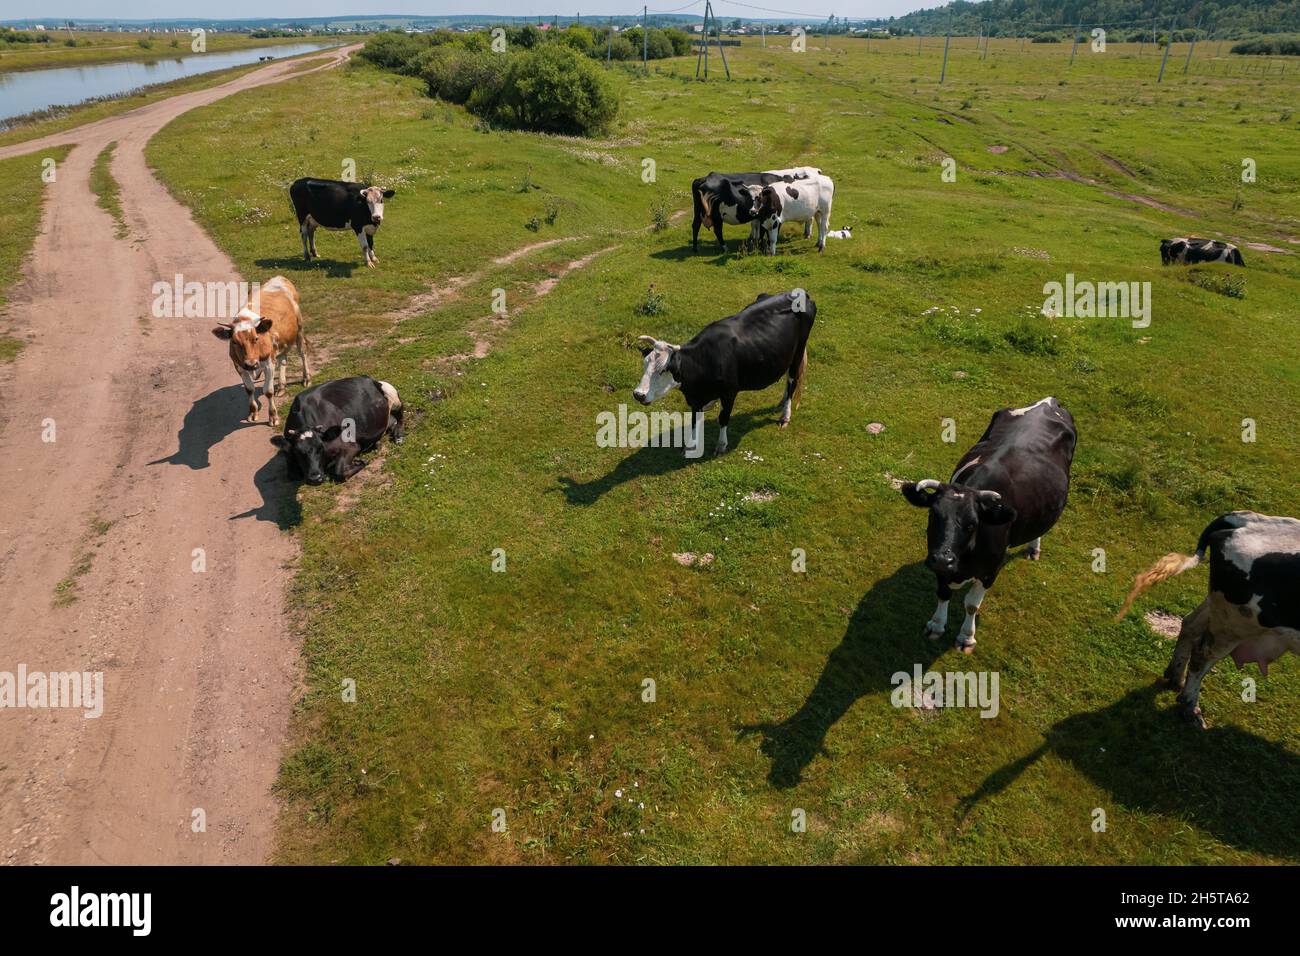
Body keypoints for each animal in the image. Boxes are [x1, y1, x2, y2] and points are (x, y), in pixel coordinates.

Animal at [211, 275, 310, 428]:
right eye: (234, 342)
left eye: (256, 338)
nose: (251, 364)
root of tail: (280, 277)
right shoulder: (239, 366)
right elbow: (249, 389)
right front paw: (253, 413)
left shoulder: (268, 363)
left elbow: (268, 391)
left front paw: (273, 417)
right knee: (283, 359)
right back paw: (281, 387)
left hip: (299, 328)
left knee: (302, 352)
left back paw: (306, 379)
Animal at [270, 376, 404, 485]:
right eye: (297, 452)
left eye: (320, 448)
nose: (315, 478)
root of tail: (368, 378)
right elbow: (292, 475)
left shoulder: (351, 446)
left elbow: (340, 472)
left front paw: (360, 462)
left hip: (391, 392)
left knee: (400, 417)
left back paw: (398, 437)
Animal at [633, 289, 814, 456]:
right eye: (645, 364)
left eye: (663, 370)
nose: (638, 394)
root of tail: (800, 292)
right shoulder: (696, 397)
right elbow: (694, 419)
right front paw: (690, 445)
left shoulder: (729, 392)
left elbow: (723, 417)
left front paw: (721, 445)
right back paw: (782, 401)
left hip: (798, 352)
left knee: (792, 380)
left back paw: (785, 415)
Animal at [901, 397, 1077, 653]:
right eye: (933, 515)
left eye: (972, 524)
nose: (943, 559)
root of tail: (1049, 401)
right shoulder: (940, 559)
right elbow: (943, 593)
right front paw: (936, 625)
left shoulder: (990, 570)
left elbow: (972, 605)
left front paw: (966, 637)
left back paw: (1033, 548)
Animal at [1116, 511, 1300, 729]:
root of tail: (1243, 519)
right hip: (1236, 623)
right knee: (1202, 654)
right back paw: (1190, 708)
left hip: (1219, 608)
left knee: (1189, 624)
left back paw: (1176, 679)